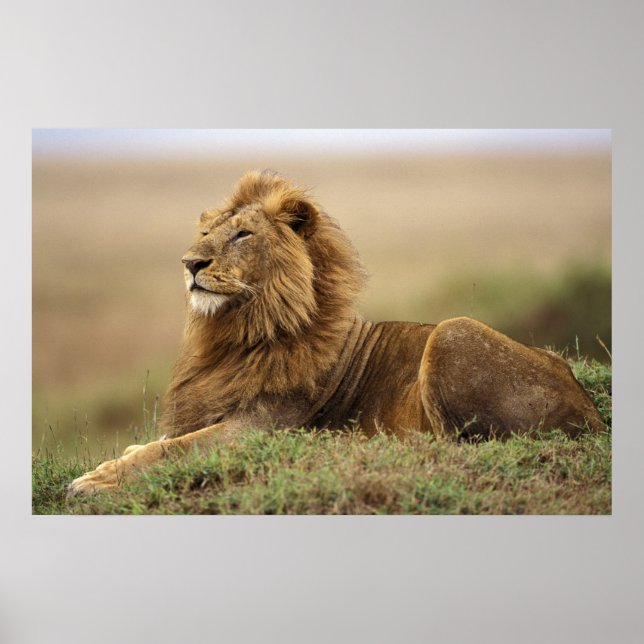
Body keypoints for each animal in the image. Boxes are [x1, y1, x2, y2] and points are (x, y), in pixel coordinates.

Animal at [68, 170, 604, 495]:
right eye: (205, 235)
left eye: (242, 234)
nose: (190, 263)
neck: (236, 334)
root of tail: (592, 412)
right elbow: (154, 443)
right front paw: (112, 463)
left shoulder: (261, 428)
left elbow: (170, 449)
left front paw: (94, 481)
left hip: (454, 332)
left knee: (450, 444)